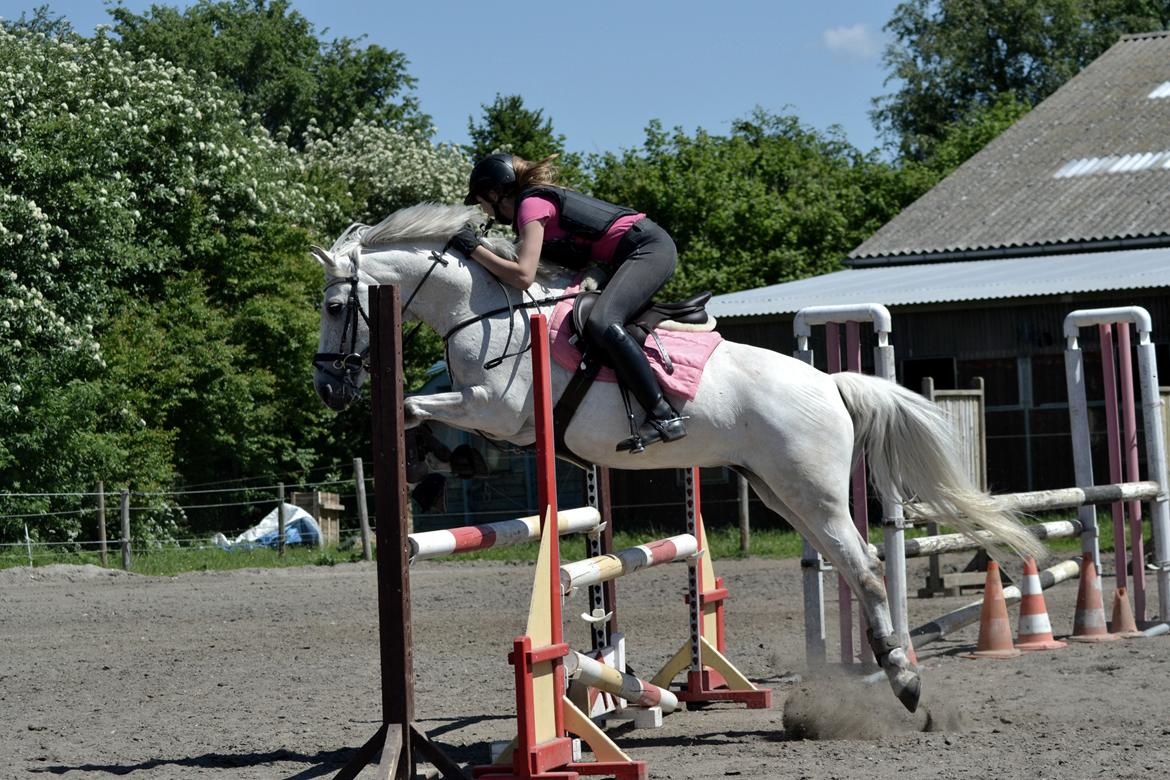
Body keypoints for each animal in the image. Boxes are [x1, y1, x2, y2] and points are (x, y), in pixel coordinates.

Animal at [311, 203, 1043, 715]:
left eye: (335, 304)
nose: (328, 388)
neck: (485, 314)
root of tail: (831, 384)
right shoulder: (493, 415)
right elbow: (423, 415)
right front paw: (431, 476)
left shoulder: (497, 409)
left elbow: (416, 407)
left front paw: (430, 470)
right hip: (781, 491)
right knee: (847, 564)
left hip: (812, 491)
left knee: (863, 568)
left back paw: (904, 681)